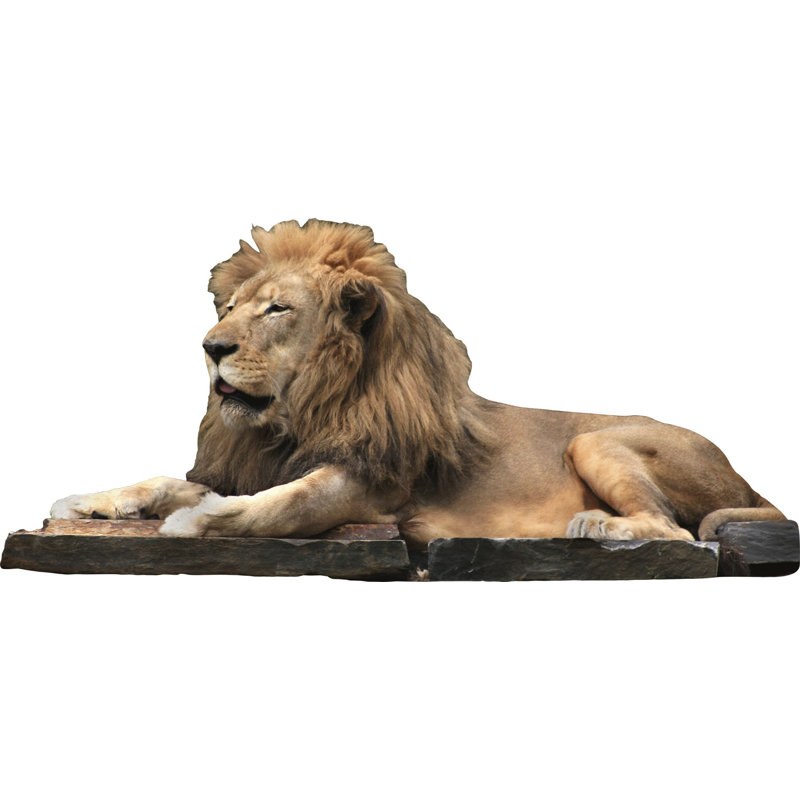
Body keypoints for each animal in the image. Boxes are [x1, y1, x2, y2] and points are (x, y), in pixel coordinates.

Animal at [51, 219, 785, 545]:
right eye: (227, 308)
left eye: (277, 309)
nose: (210, 349)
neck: (299, 416)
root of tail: (746, 479)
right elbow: (161, 480)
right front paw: (90, 501)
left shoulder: (371, 486)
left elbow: (280, 504)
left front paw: (194, 520)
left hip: (596, 442)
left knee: (675, 531)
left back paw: (594, 525)